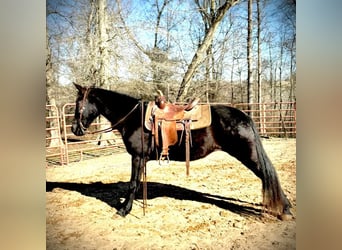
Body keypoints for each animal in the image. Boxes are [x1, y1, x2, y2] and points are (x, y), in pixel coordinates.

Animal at [71, 83, 292, 220]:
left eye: (78, 104)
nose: (74, 129)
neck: (133, 117)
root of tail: (244, 116)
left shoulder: (137, 157)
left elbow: (133, 184)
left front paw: (124, 210)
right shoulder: (141, 159)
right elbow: (138, 183)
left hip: (249, 155)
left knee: (267, 174)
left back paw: (285, 209)